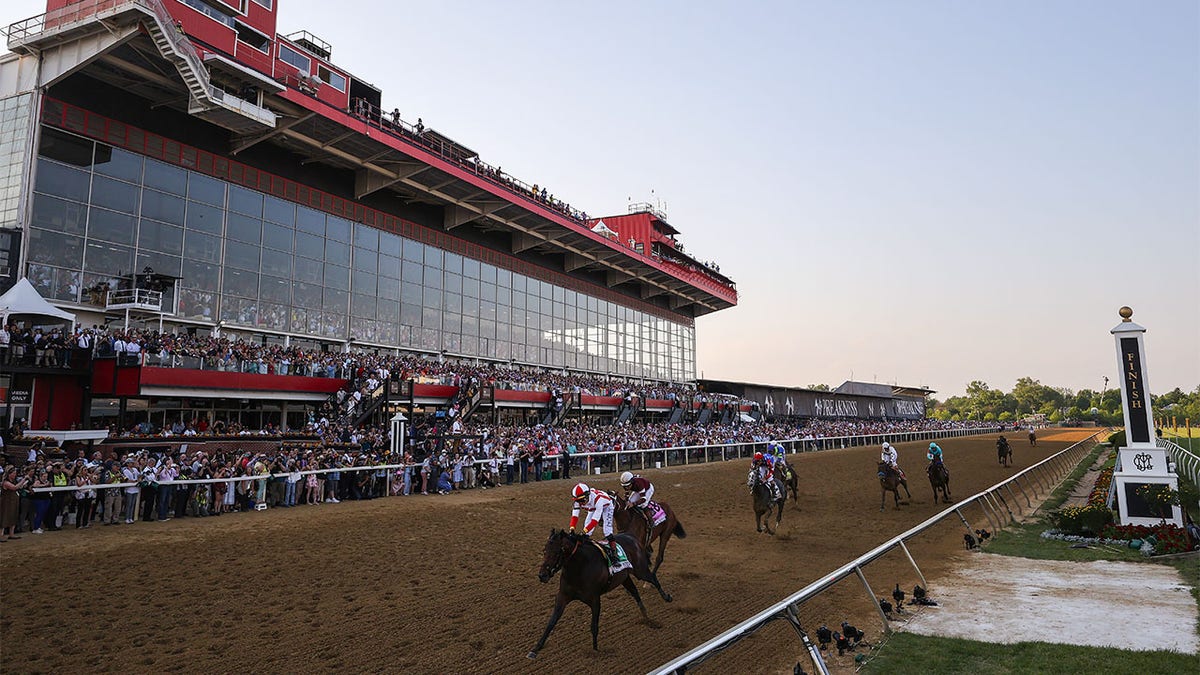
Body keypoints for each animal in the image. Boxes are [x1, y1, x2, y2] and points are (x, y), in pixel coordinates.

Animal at [530, 526, 672, 658]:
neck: (579, 567)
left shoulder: (595, 600)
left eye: (556, 552)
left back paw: (666, 597)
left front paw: (595, 650)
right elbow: (551, 622)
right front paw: (536, 648)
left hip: (640, 571)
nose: (542, 575)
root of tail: (632, 537)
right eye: (544, 551)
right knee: (635, 592)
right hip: (625, 578)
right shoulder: (562, 597)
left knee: (653, 579)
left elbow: (594, 626)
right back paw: (646, 618)